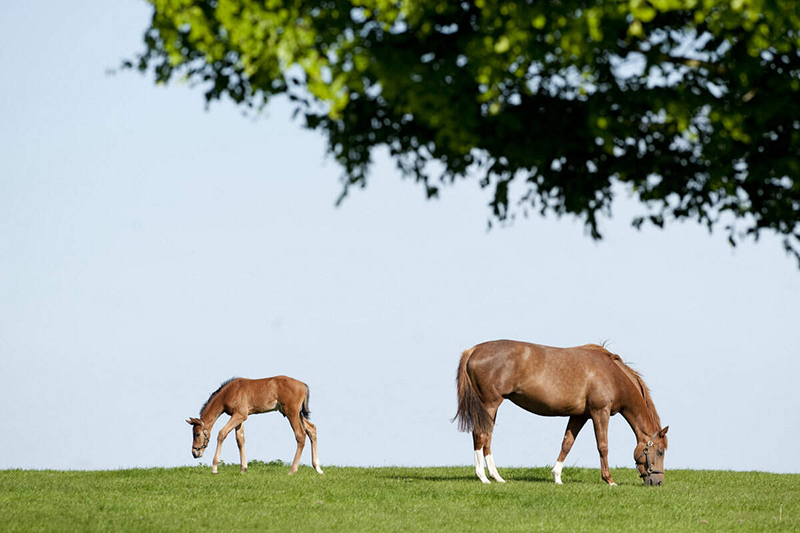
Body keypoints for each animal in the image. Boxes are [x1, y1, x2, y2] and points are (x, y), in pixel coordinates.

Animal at [187, 374, 322, 474]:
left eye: (197, 434)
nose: (194, 453)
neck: (229, 392)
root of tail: (303, 385)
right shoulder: (239, 417)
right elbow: (240, 439)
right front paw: (243, 469)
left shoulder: (240, 415)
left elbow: (222, 433)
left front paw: (214, 468)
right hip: (295, 413)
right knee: (312, 429)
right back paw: (318, 468)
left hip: (291, 412)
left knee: (300, 435)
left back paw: (292, 470)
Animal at [456, 340, 668, 486]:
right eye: (659, 451)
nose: (657, 482)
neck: (613, 376)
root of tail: (473, 350)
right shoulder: (600, 413)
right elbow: (603, 446)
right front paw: (609, 480)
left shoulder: (580, 416)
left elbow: (567, 443)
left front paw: (557, 477)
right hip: (489, 404)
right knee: (480, 435)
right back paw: (483, 477)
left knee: (486, 438)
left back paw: (496, 476)